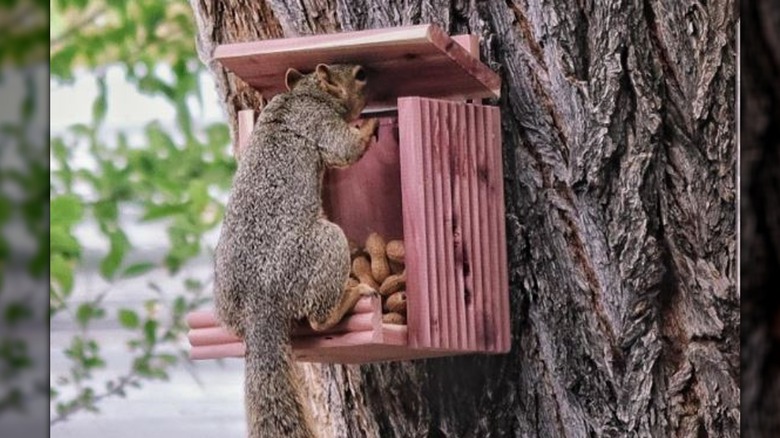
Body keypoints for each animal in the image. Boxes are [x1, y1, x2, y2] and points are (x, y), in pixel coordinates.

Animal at [215, 63, 380, 436]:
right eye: (360, 75)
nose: (375, 74)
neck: (304, 93)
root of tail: (259, 304)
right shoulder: (318, 122)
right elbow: (346, 149)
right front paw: (369, 127)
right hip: (325, 247)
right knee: (319, 319)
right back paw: (349, 296)